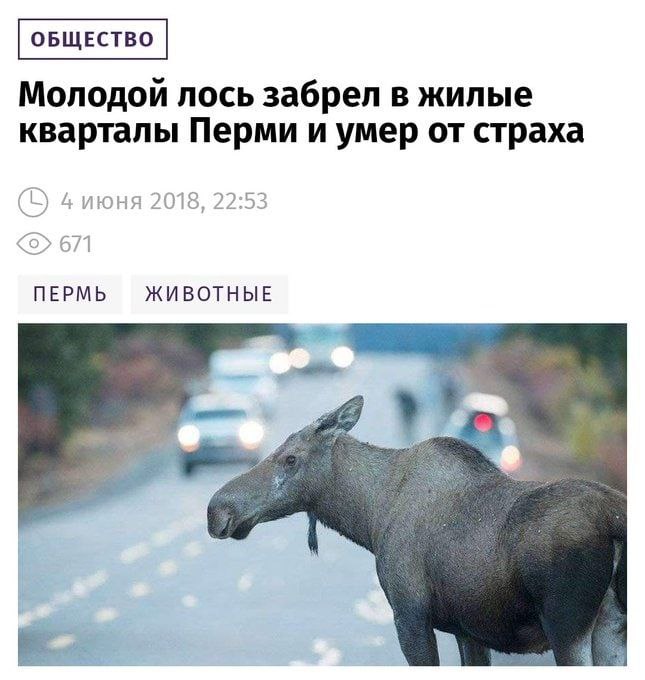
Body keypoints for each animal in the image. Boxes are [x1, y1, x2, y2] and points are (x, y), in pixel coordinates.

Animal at [207, 396, 626, 665]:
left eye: (290, 458)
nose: (217, 509)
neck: (370, 516)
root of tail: (615, 519)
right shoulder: (467, 629)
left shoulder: (410, 612)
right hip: (612, 627)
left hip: (566, 623)